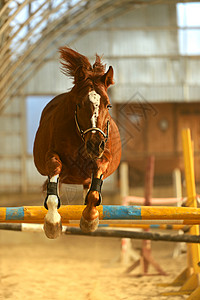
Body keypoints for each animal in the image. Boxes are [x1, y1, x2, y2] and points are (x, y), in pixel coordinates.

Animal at [33, 47, 121, 239]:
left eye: (108, 106)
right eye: (79, 104)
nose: (95, 144)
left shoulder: (104, 157)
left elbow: (94, 192)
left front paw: (89, 219)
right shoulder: (51, 156)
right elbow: (54, 176)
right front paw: (52, 222)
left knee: (88, 185)